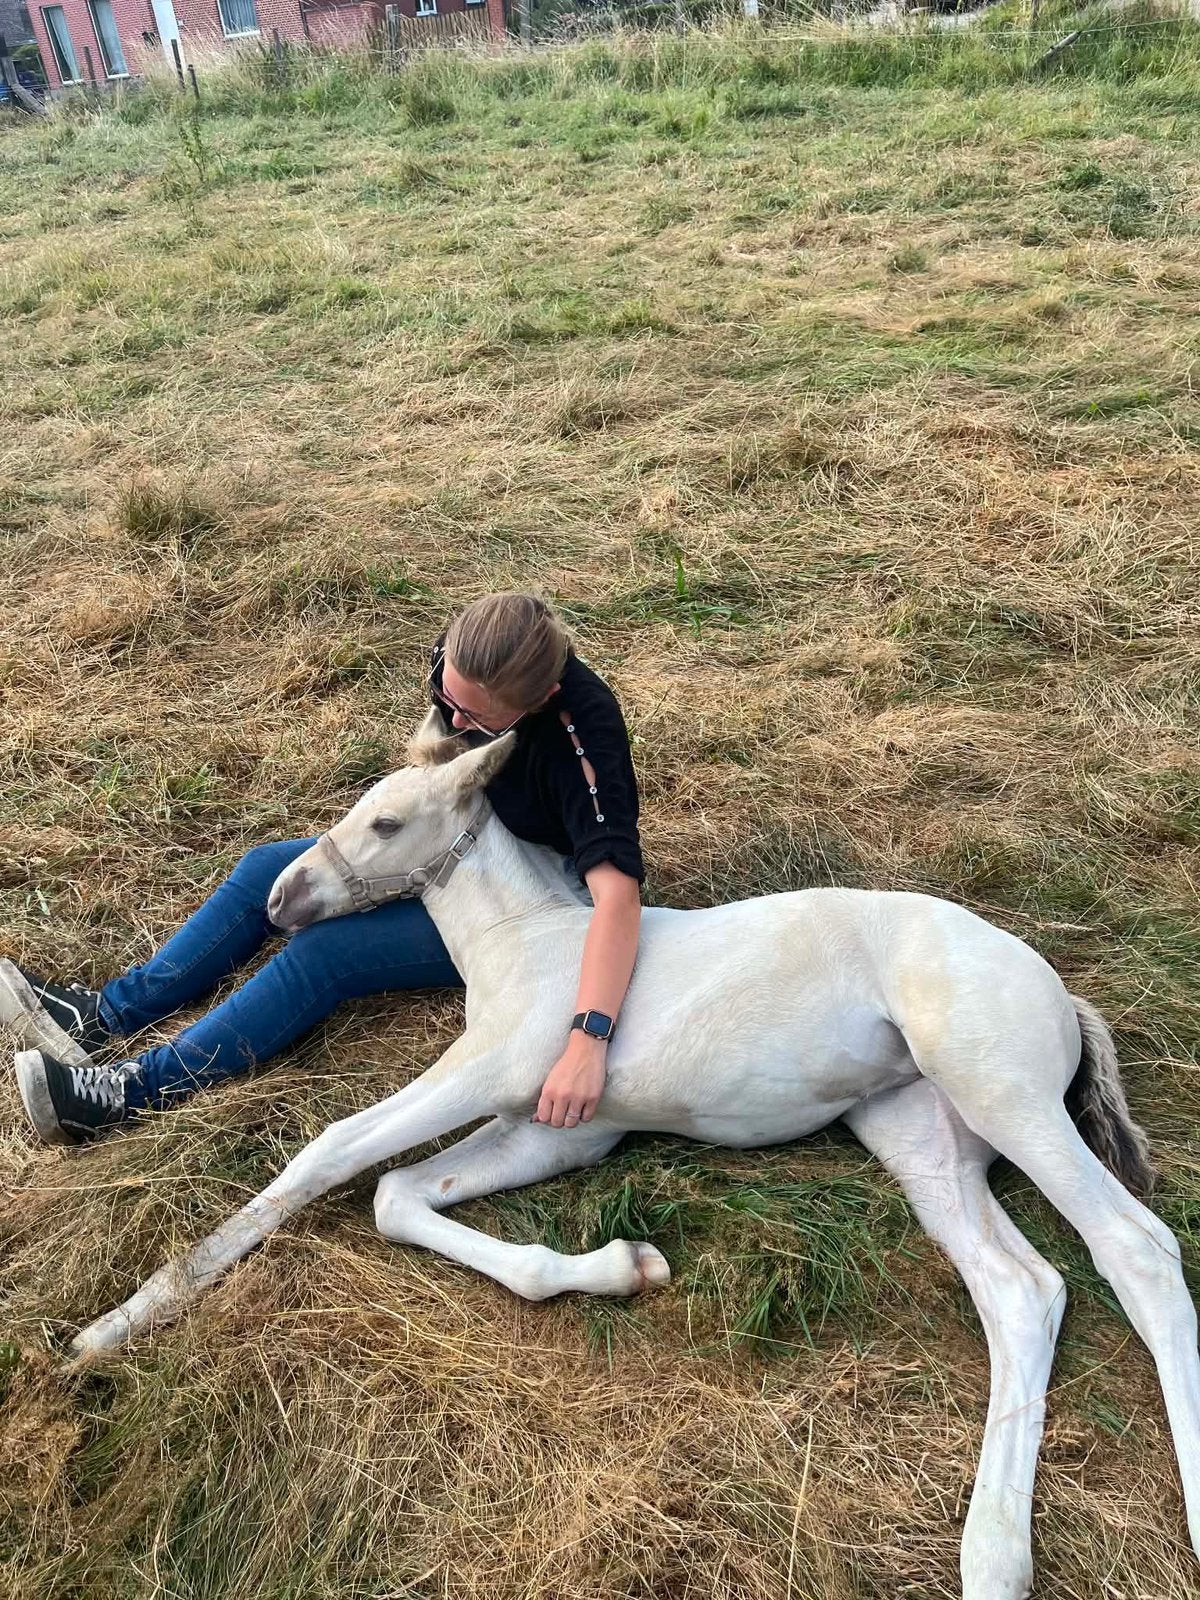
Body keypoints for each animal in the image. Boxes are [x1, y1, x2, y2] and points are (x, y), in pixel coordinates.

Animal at [70, 713, 1200, 1599]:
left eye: (387, 822)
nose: (283, 902)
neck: (529, 946)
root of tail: (1060, 990)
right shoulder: (559, 1122)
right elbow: (398, 1195)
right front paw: (624, 1267)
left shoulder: (486, 1071)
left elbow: (333, 1152)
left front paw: (116, 1324)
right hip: (923, 1134)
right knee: (1024, 1290)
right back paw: (991, 1559)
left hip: (1001, 1091)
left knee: (1136, 1248)